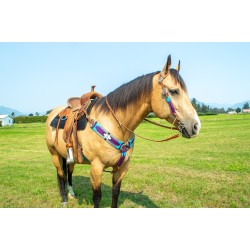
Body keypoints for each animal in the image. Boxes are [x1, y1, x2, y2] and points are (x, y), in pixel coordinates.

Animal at [45, 55, 201, 208]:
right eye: (174, 91)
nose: (196, 126)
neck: (114, 124)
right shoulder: (96, 167)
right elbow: (97, 197)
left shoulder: (122, 167)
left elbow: (115, 193)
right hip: (54, 154)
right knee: (60, 174)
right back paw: (64, 199)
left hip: (67, 155)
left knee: (69, 171)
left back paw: (71, 194)